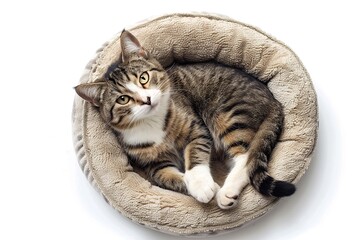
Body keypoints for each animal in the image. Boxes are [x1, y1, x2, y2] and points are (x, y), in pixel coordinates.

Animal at [75, 30, 296, 209]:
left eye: (143, 78)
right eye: (123, 99)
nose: (147, 100)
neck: (152, 122)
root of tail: (274, 100)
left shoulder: (196, 128)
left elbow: (195, 157)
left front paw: (202, 184)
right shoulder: (155, 165)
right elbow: (170, 177)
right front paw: (206, 187)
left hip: (228, 113)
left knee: (247, 157)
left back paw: (227, 191)